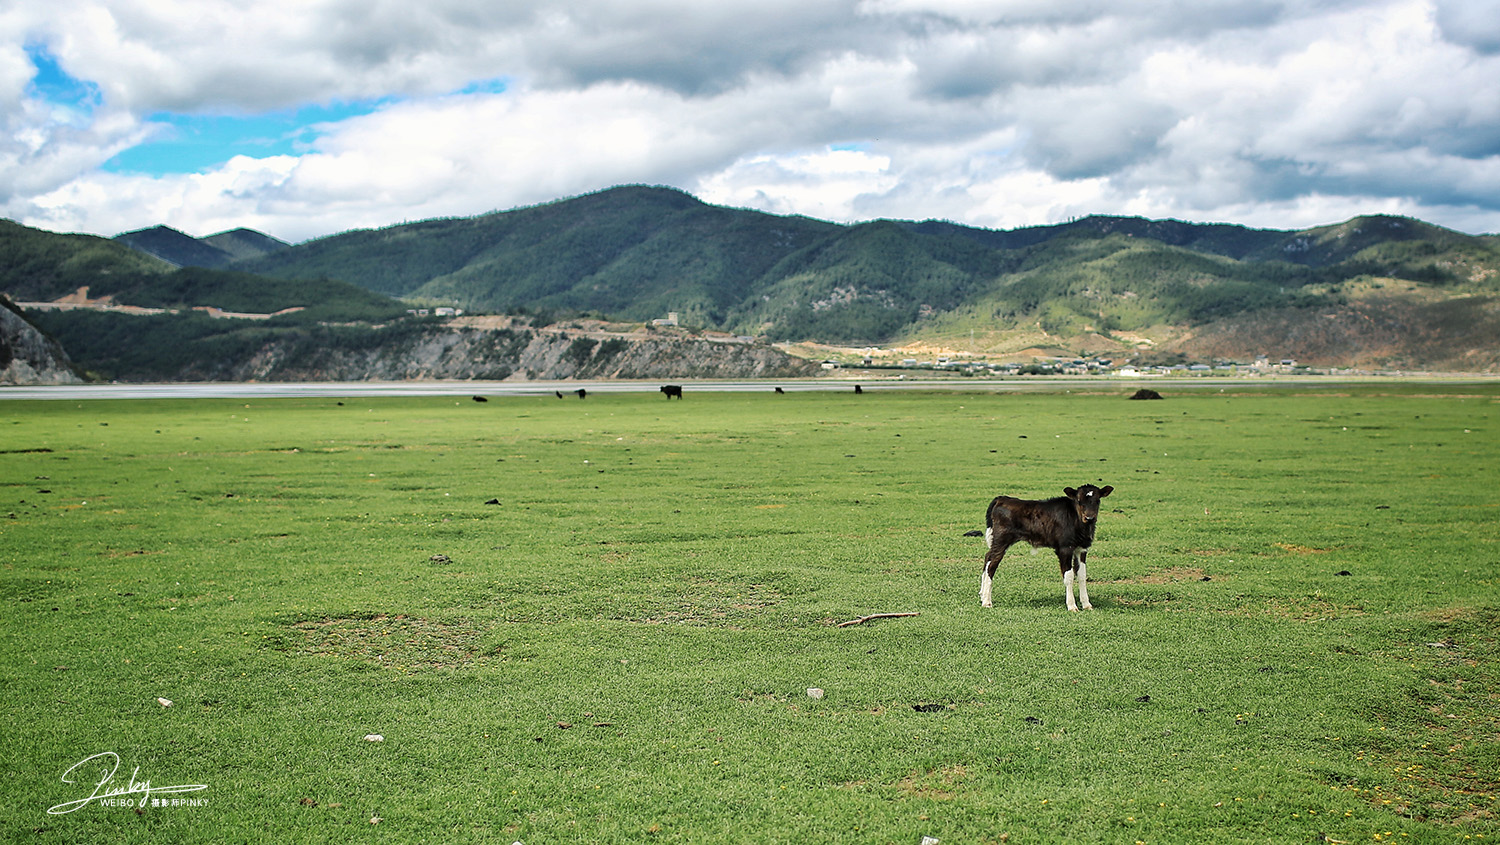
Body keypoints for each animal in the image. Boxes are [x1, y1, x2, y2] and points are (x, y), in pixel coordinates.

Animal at [984, 486, 1116, 612]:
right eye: (1079, 500)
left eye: (1098, 500)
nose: (1089, 518)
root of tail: (1002, 499)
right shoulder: (1065, 548)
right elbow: (1069, 576)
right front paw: (1072, 606)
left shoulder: (1082, 549)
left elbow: (1082, 575)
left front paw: (1087, 605)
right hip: (1001, 539)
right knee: (991, 564)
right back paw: (986, 602)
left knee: (987, 558)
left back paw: (982, 595)